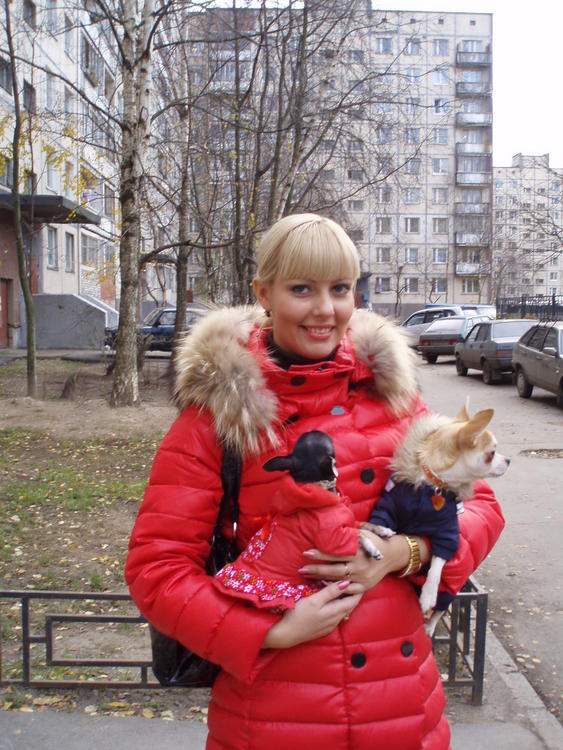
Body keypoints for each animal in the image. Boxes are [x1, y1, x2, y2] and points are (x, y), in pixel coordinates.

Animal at [360, 400, 509, 636]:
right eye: (492, 453)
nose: (509, 460)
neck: (434, 485)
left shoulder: (447, 532)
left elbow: (438, 565)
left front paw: (429, 594)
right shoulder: (388, 508)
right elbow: (374, 524)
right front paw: (373, 538)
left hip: (448, 592)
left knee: (441, 607)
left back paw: (429, 625)